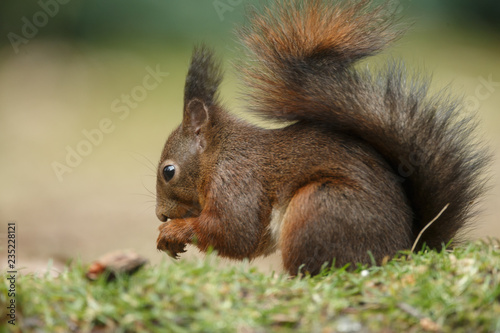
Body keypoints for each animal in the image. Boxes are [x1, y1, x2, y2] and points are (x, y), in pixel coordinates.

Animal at [155, 0, 488, 274]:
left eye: (168, 171)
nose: (160, 216)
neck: (219, 153)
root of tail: (403, 251)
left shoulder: (237, 182)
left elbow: (235, 234)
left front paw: (174, 232)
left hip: (319, 205)